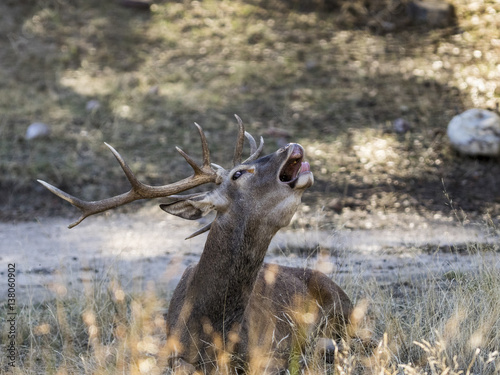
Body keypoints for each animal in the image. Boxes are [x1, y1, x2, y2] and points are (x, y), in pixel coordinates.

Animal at [37, 116, 354, 374]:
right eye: (238, 173)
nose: (290, 145)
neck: (213, 333)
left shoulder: (272, 352)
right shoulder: (174, 354)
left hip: (344, 309)